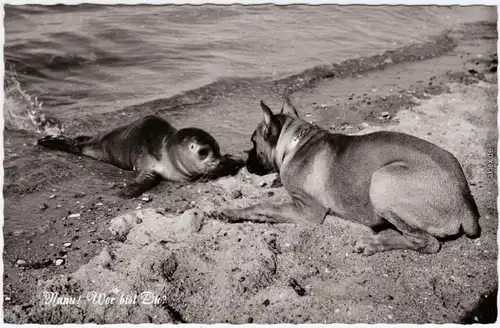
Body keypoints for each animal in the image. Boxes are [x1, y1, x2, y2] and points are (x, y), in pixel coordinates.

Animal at [223, 96, 480, 255]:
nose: (245, 164)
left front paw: (233, 213)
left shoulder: (307, 210)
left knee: (427, 242)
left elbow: (264, 206)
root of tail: (464, 199)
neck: (294, 143)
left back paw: (372, 243)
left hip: (383, 180)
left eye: (253, 142)